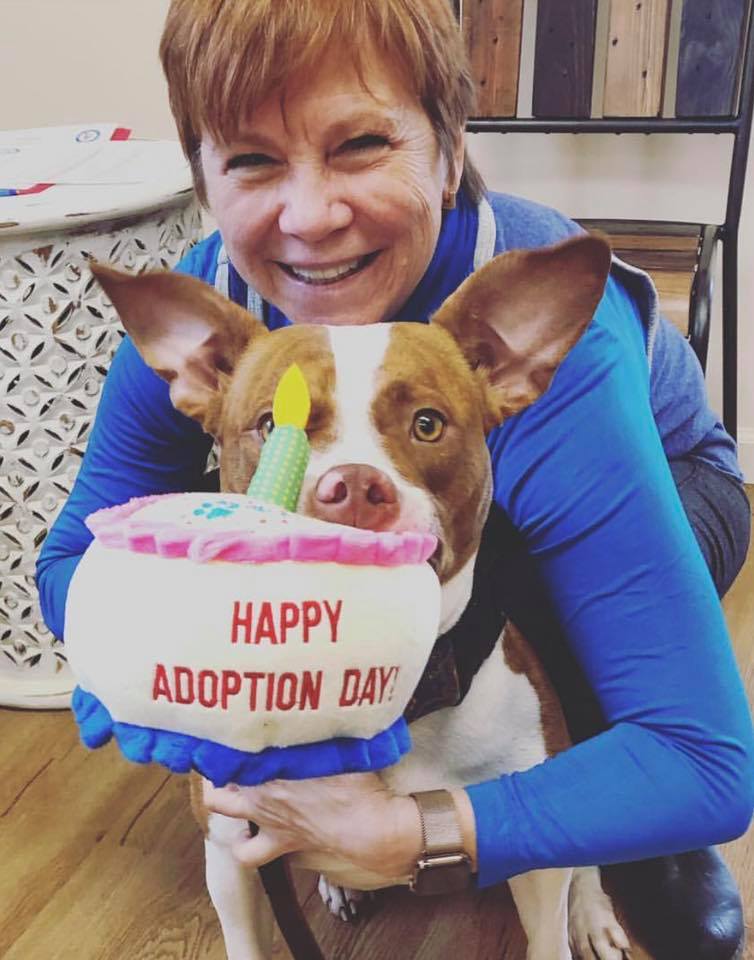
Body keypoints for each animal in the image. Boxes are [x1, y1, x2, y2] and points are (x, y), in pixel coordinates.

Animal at [89, 236, 628, 960]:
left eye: (427, 424)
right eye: (269, 425)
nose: (350, 487)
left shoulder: (532, 843)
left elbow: (550, 912)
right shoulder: (231, 853)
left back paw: (591, 912)